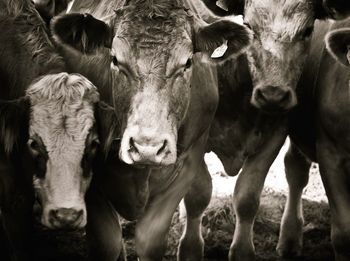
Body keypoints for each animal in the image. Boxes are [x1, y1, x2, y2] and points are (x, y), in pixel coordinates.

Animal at [49, 0, 252, 258]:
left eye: (187, 63)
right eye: (115, 60)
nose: (147, 148)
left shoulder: (186, 166)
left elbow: (150, 242)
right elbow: (107, 244)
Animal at [198, 0, 350, 258]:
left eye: (308, 30)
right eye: (248, 25)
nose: (273, 96)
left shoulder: (274, 136)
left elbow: (247, 198)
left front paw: (242, 252)